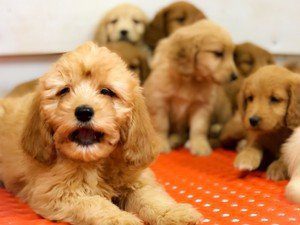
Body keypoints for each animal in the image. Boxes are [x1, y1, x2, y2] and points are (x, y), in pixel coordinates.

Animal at [0, 42, 203, 225]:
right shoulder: (57, 193)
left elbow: (151, 197)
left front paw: (175, 212)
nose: (83, 112)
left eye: (107, 91)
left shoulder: (137, 180)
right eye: (64, 90)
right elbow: (95, 204)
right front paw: (121, 219)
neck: (97, 161)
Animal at [144, 20, 238, 156]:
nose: (235, 76)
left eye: (232, 55)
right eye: (218, 54)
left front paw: (200, 145)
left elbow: (199, 127)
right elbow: (161, 124)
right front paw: (161, 143)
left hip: (221, 108)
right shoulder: (160, 101)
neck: (190, 80)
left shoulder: (202, 105)